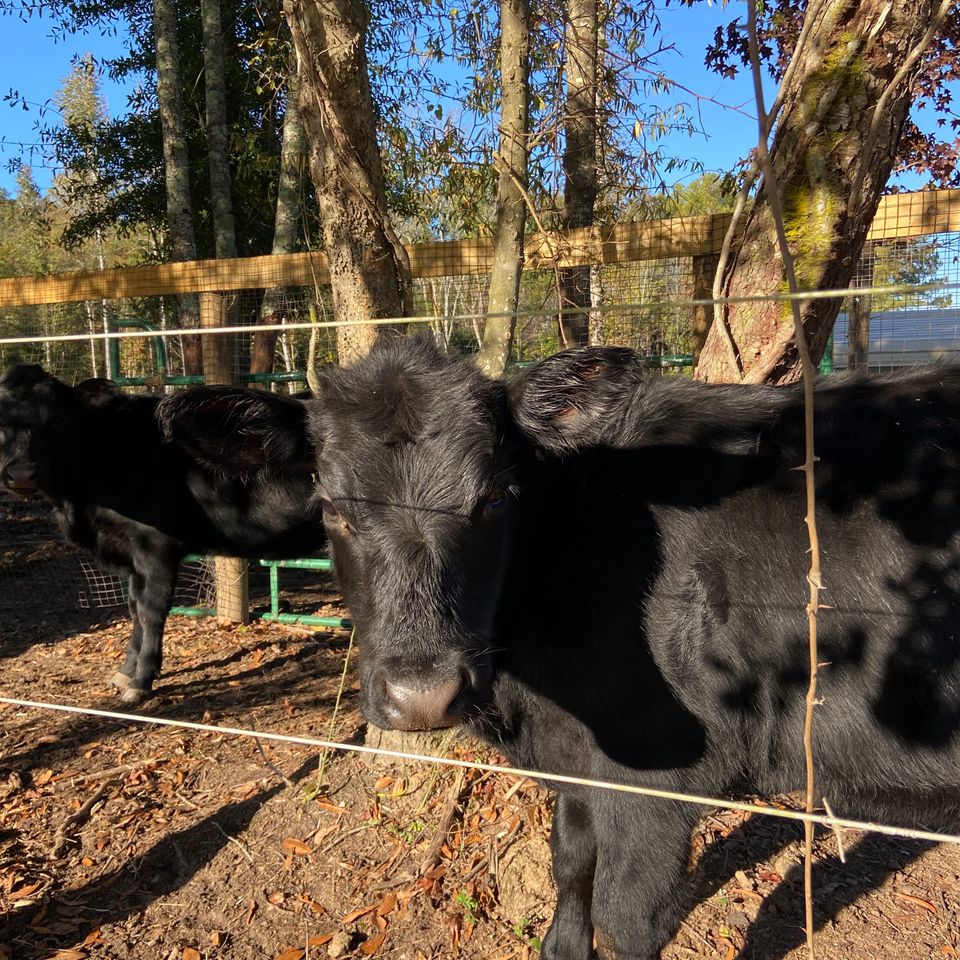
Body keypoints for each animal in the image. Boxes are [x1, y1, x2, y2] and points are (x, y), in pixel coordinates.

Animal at [0, 365, 325, 703]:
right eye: (0, 420)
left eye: (58, 420)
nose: (21, 475)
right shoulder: (129, 553)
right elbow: (133, 607)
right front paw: (126, 670)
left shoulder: (155, 547)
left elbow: (150, 610)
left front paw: (141, 681)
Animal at [157, 335, 960, 959]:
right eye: (331, 506)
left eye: (492, 498)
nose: (422, 696)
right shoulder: (578, 758)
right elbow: (570, 861)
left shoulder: (663, 775)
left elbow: (627, 918)